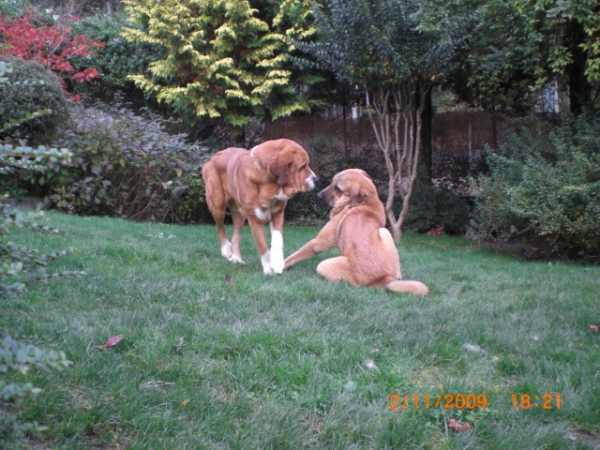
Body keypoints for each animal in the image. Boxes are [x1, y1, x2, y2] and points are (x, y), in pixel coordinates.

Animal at [203, 139, 318, 274]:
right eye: (303, 166)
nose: (316, 179)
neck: (268, 183)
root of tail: (212, 159)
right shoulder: (255, 221)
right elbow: (263, 247)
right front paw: (268, 270)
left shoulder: (278, 214)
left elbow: (277, 241)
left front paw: (277, 263)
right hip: (218, 206)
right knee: (220, 226)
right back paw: (226, 250)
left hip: (239, 214)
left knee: (236, 234)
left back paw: (236, 258)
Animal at [284, 169, 428, 296]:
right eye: (332, 182)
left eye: (337, 188)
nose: (318, 195)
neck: (368, 201)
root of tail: (383, 278)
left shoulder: (318, 243)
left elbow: (295, 255)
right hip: (384, 232)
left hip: (324, 265)